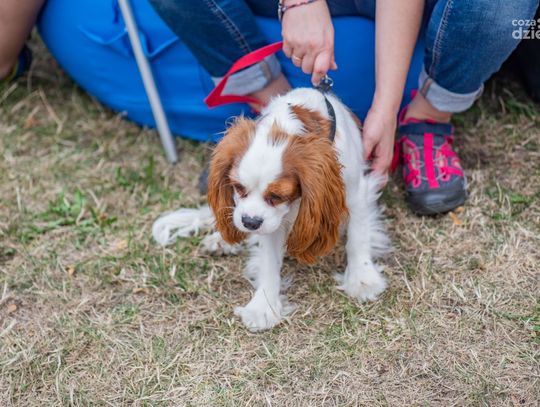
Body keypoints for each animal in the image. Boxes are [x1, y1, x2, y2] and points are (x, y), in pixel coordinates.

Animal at [153, 88, 391, 331]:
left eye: (277, 196)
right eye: (238, 187)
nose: (249, 222)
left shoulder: (355, 191)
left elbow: (357, 237)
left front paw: (362, 277)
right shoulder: (268, 222)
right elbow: (268, 261)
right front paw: (263, 306)